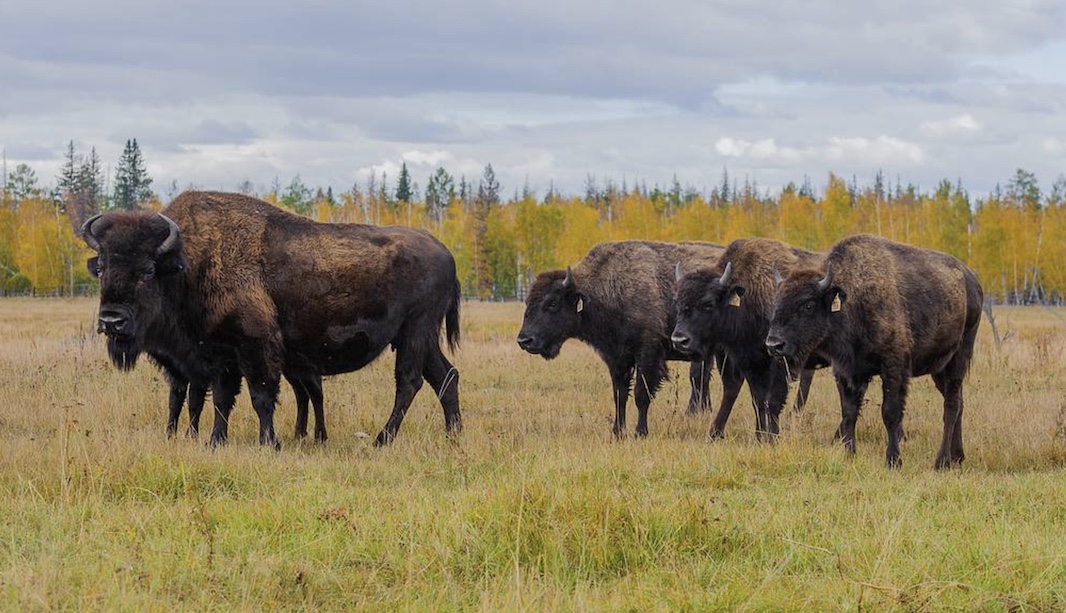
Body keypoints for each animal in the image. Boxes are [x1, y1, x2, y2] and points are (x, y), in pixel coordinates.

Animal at [81, 189, 460, 447]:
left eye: (147, 271)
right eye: (101, 268)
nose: (111, 321)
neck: (190, 263)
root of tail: (445, 252)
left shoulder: (255, 347)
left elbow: (260, 396)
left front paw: (269, 442)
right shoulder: (218, 355)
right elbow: (220, 399)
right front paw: (216, 441)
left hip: (415, 331)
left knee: (409, 381)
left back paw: (383, 439)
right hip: (420, 338)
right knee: (445, 376)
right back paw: (453, 434)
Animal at [515, 239, 741, 437]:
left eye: (552, 303)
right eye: (527, 301)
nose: (525, 340)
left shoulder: (648, 355)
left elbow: (641, 395)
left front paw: (640, 432)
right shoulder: (616, 358)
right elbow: (619, 395)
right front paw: (617, 432)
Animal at [669, 236, 818, 441]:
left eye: (708, 304)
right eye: (678, 302)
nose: (679, 340)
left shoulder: (776, 362)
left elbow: (772, 399)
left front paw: (771, 436)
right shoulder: (748, 361)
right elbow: (757, 399)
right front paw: (759, 435)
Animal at [767, 234, 980, 469]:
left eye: (808, 304)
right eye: (776, 302)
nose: (774, 344)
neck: (852, 299)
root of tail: (972, 282)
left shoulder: (894, 367)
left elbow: (890, 413)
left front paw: (893, 460)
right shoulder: (846, 371)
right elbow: (849, 412)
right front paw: (849, 456)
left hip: (958, 359)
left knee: (951, 405)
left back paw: (941, 461)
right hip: (939, 368)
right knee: (958, 402)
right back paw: (957, 456)